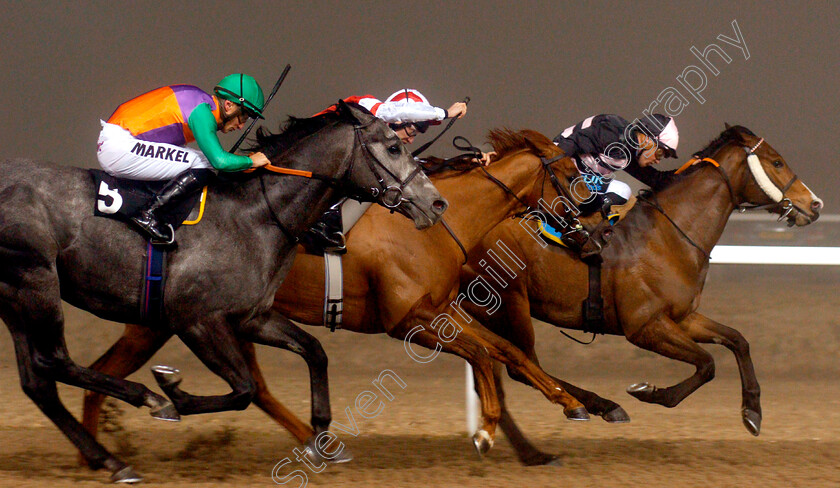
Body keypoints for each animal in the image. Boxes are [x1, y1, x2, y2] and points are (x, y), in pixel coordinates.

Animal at [0, 101, 446, 482]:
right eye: (393, 146)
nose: (436, 203)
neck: (255, 215)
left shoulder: (251, 317)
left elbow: (314, 352)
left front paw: (321, 436)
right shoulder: (197, 321)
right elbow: (244, 389)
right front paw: (173, 394)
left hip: (14, 297)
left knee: (38, 382)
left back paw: (111, 460)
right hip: (36, 281)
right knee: (54, 360)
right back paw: (146, 402)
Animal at [79, 129, 600, 462]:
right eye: (573, 174)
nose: (596, 238)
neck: (439, 222)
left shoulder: (440, 311)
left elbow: (507, 352)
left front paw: (571, 405)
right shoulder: (408, 322)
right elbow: (488, 356)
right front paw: (489, 430)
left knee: (255, 388)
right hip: (161, 322)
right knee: (106, 373)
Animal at [456, 126, 824, 462]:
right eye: (777, 162)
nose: (814, 204)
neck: (669, 234)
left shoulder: (683, 318)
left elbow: (738, 341)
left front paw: (753, 412)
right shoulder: (644, 327)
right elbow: (707, 364)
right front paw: (648, 392)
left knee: (501, 368)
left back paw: (535, 449)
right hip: (508, 301)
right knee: (523, 365)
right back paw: (592, 409)